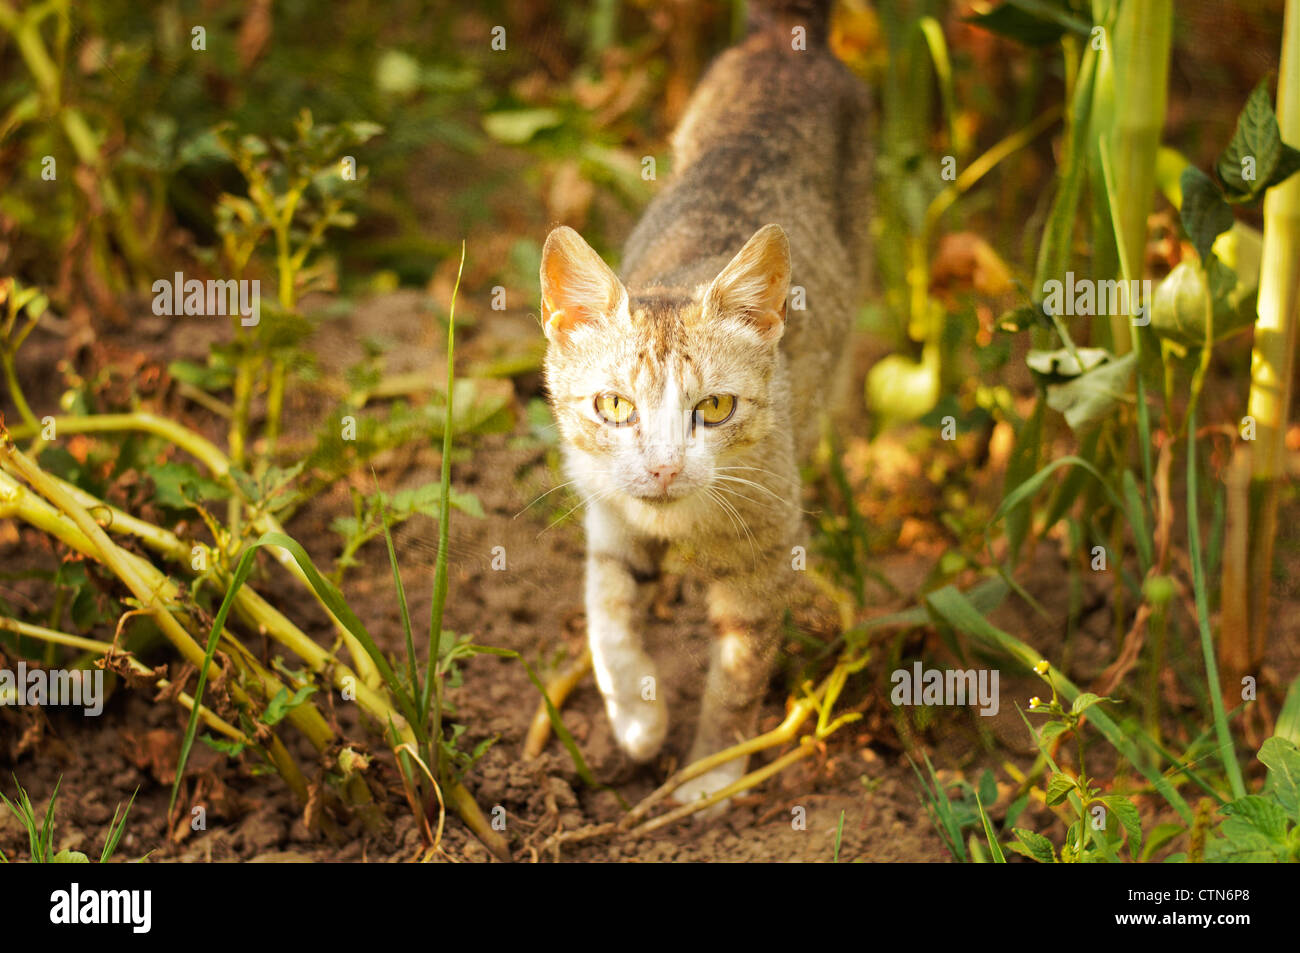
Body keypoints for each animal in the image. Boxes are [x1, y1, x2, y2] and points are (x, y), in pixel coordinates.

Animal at [538, 0, 873, 811]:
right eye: (614, 405)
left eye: (715, 407)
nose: (662, 468)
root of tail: (789, 42)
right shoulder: (606, 508)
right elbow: (606, 608)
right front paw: (635, 716)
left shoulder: (767, 549)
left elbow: (739, 668)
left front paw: (712, 770)